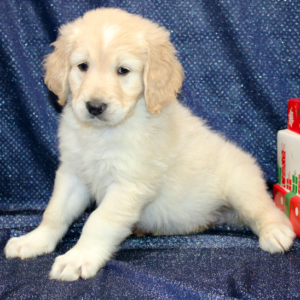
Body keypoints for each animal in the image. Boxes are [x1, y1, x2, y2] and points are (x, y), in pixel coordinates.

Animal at [4, 7, 296, 282]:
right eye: (83, 66)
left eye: (123, 70)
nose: (95, 107)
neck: (102, 133)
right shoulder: (72, 173)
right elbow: (54, 212)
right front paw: (34, 240)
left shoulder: (129, 184)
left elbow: (99, 221)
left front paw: (78, 257)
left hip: (241, 184)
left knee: (266, 210)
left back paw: (276, 232)